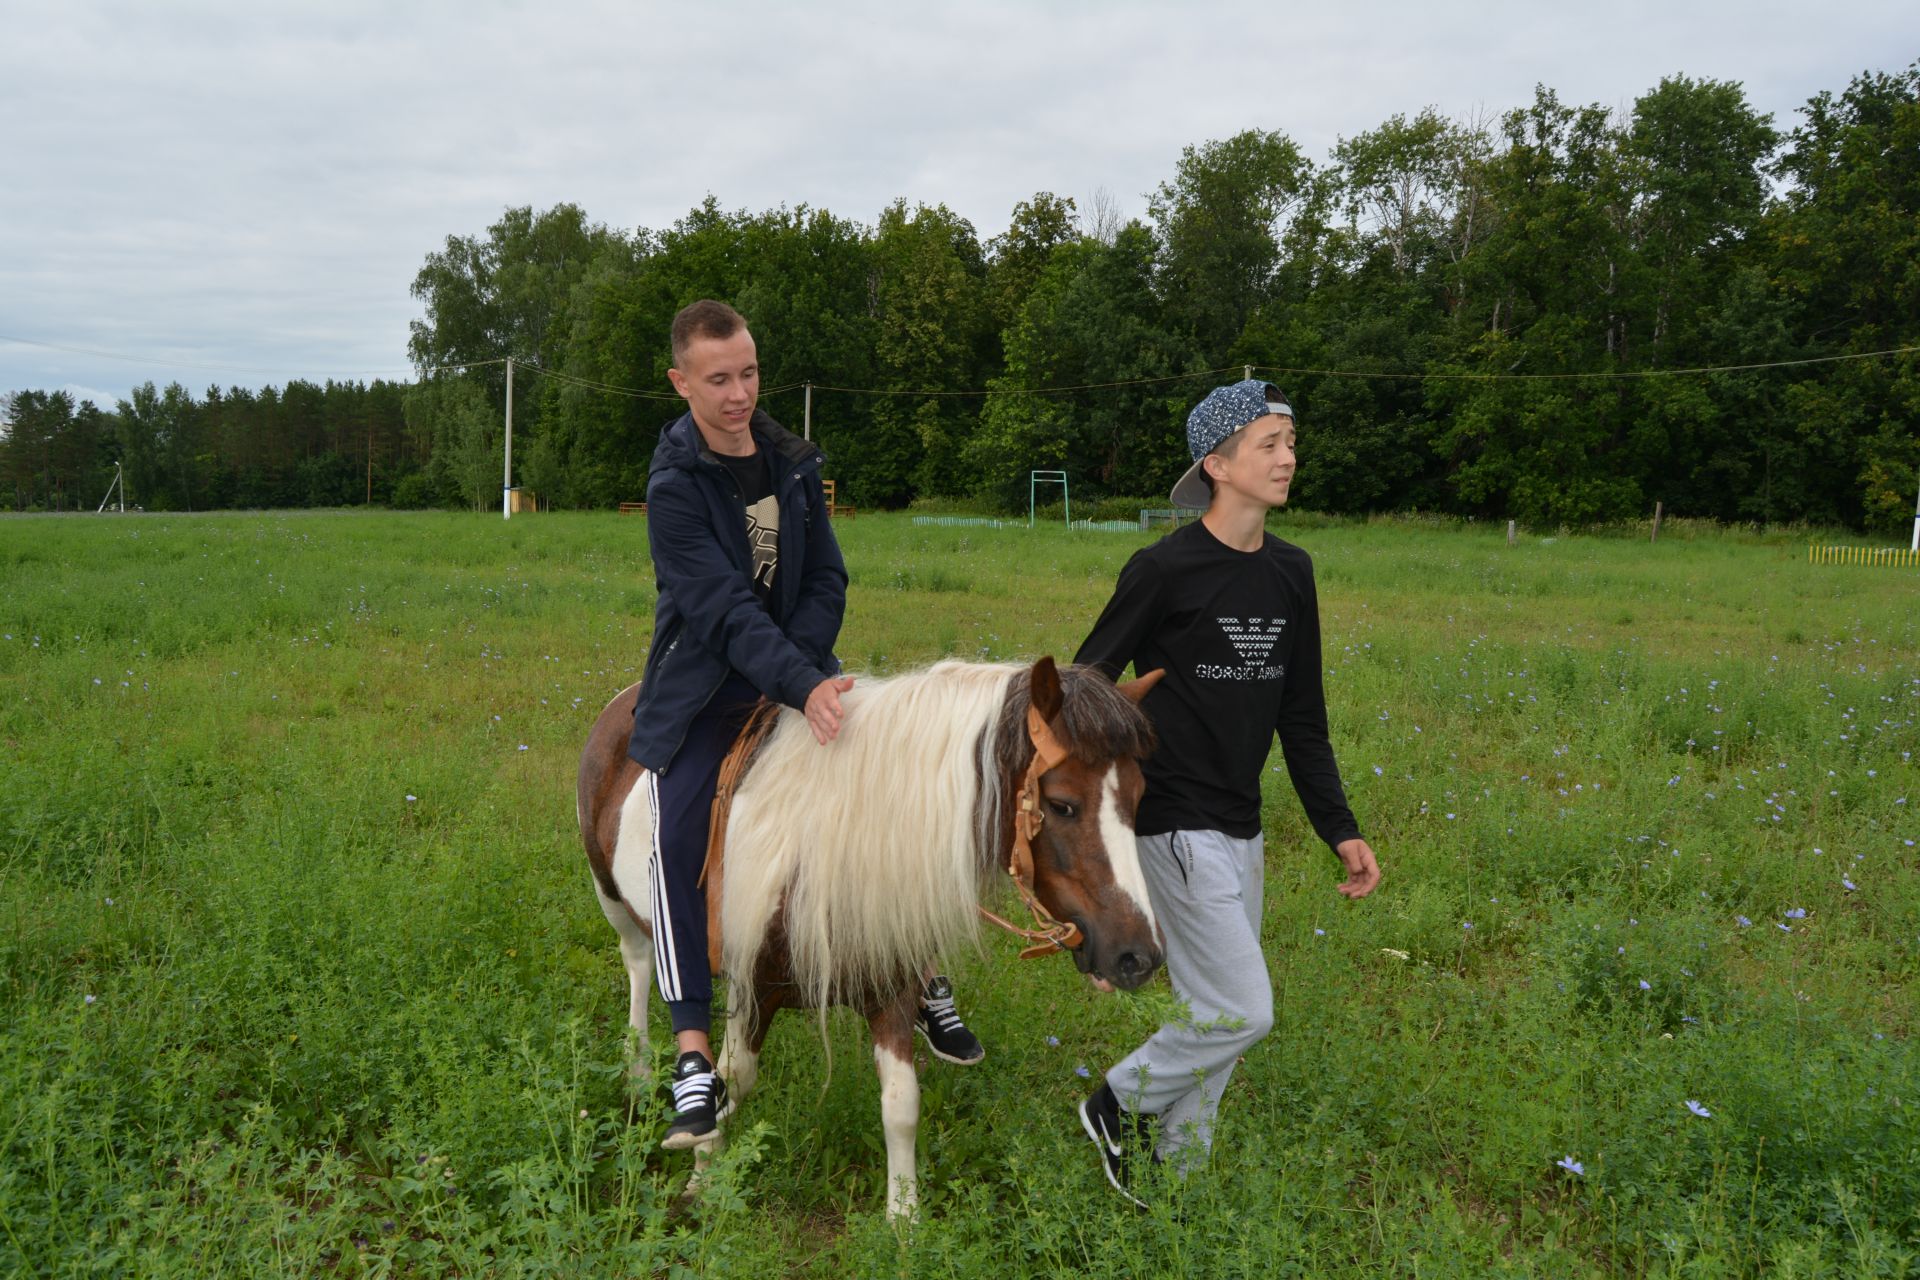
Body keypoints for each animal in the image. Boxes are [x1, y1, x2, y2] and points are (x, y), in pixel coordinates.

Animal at [576, 660, 1159, 1220]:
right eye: (1061, 804)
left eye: (1139, 797)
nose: (1139, 957)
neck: (828, 844)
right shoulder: (751, 987)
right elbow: (732, 1082)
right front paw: (703, 1180)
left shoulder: (891, 990)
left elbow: (901, 1105)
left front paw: (904, 1216)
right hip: (613, 898)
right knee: (640, 966)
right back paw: (638, 1067)